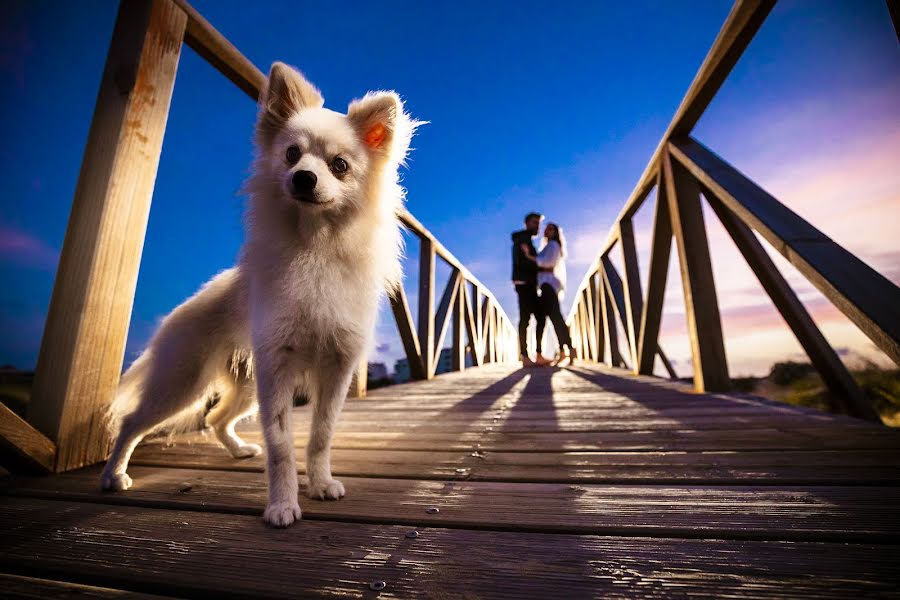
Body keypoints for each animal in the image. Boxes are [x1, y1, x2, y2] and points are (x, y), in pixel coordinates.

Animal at [99, 63, 418, 528]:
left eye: (340, 166)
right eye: (291, 154)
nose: (304, 177)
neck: (314, 246)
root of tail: (179, 313)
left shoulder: (335, 368)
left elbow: (320, 435)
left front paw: (321, 484)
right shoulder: (278, 370)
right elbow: (281, 445)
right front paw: (282, 506)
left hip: (246, 386)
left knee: (215, 419)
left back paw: (237, 450)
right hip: (183, 384)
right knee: (131, 422)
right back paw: (113, 475)